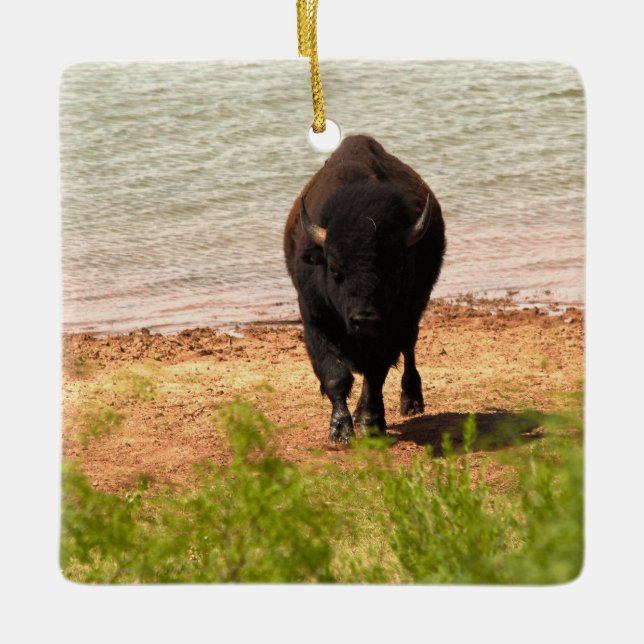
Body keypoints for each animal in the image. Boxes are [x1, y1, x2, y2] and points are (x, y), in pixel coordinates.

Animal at [284, 135, 446, 444]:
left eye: (395, 269)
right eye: (336, 270)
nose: (365, 319)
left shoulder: (392, 327)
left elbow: (375, 373)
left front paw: (370, 424)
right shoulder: (315, 321)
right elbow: (336, 376)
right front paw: (340, 430)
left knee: (409, 350)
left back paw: (411, 401)